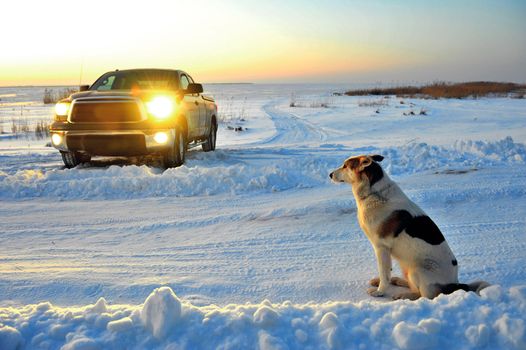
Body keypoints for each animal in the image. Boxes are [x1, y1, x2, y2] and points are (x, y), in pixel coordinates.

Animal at [330, 154, 490, 300]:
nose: (330, 174)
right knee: (412, 285)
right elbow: (386, 273)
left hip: (416, 269)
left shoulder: (381, 248)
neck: (374, 192)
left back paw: (403, 295)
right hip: (406, 267)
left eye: (345, 166)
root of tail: (455, 284)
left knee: (424, 295)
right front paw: (382, 283)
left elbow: (384, 273)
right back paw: (397, 281)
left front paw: (380, 291)